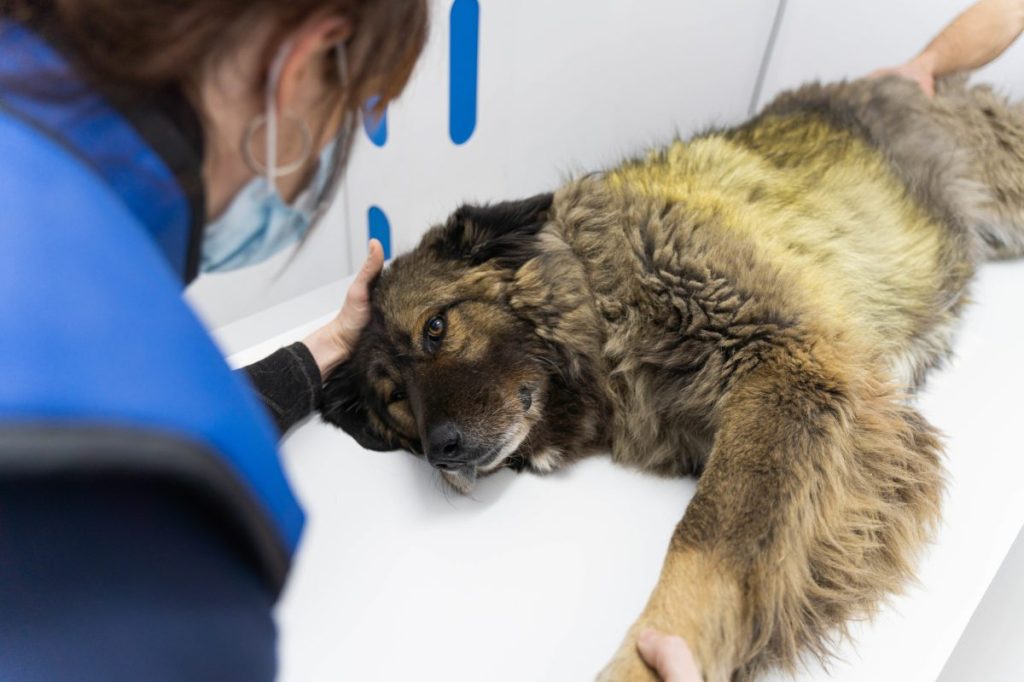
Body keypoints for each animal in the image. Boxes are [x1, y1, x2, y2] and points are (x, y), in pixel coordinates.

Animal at [319, 76, 1024, 675]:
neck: (602, 301)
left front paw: (654, 660)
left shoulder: (789, 365)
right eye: (395, 399)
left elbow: (705, 546)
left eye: (436, 328)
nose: (440, 452)